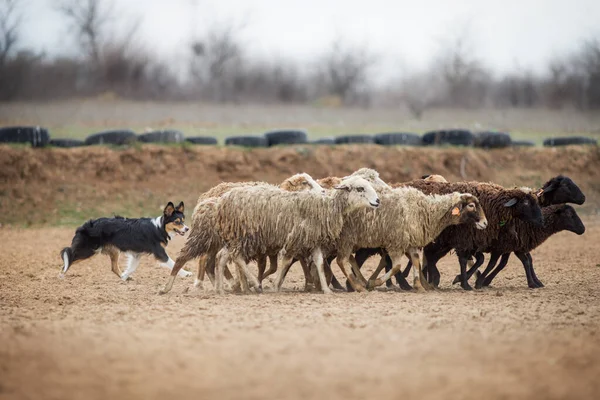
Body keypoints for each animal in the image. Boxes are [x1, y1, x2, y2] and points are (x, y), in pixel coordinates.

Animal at [58, 202, 190, 280]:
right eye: (177, 222)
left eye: (183, 221)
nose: (187, 229)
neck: (159, 227)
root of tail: (84, 226)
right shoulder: (160, 252)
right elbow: (173, 264)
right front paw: (186, 273)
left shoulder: (137, 254)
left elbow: (132, 268)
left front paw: (125, 277)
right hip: (88, 250)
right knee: (69, 258)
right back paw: (60, 276)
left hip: (113, 251)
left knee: (114, 267)